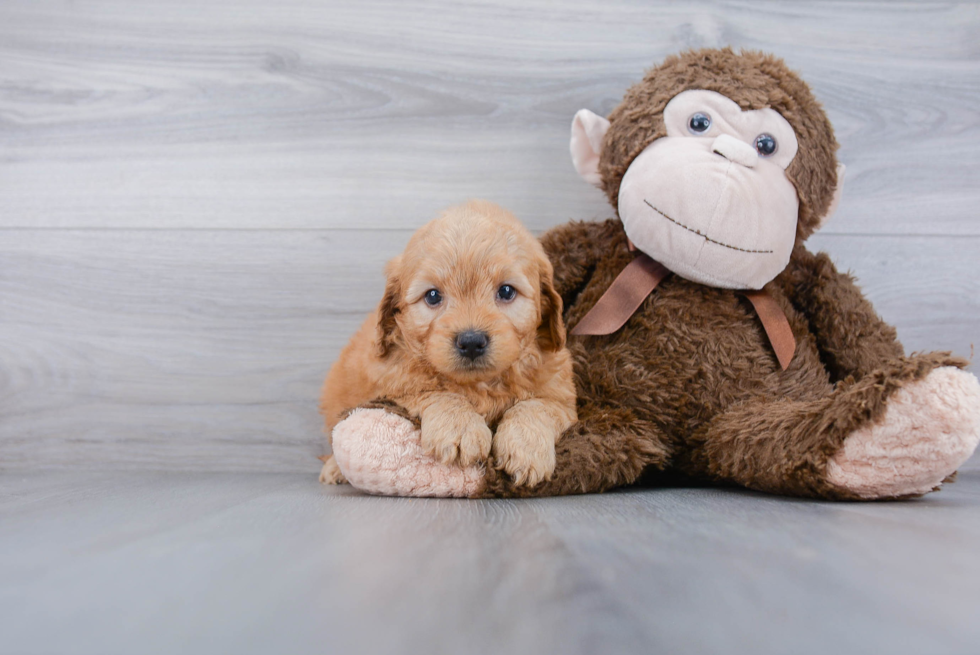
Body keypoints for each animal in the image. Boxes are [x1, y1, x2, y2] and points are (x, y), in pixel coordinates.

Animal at [318, 202, 580, 490]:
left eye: (506, 291)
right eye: (433, 296)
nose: (471, 341)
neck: (479, 385)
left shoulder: (561, 398)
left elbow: (536, 405)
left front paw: (525, 448)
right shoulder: (390, 388)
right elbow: (435, 392)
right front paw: (460, 426)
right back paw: (334, 469)